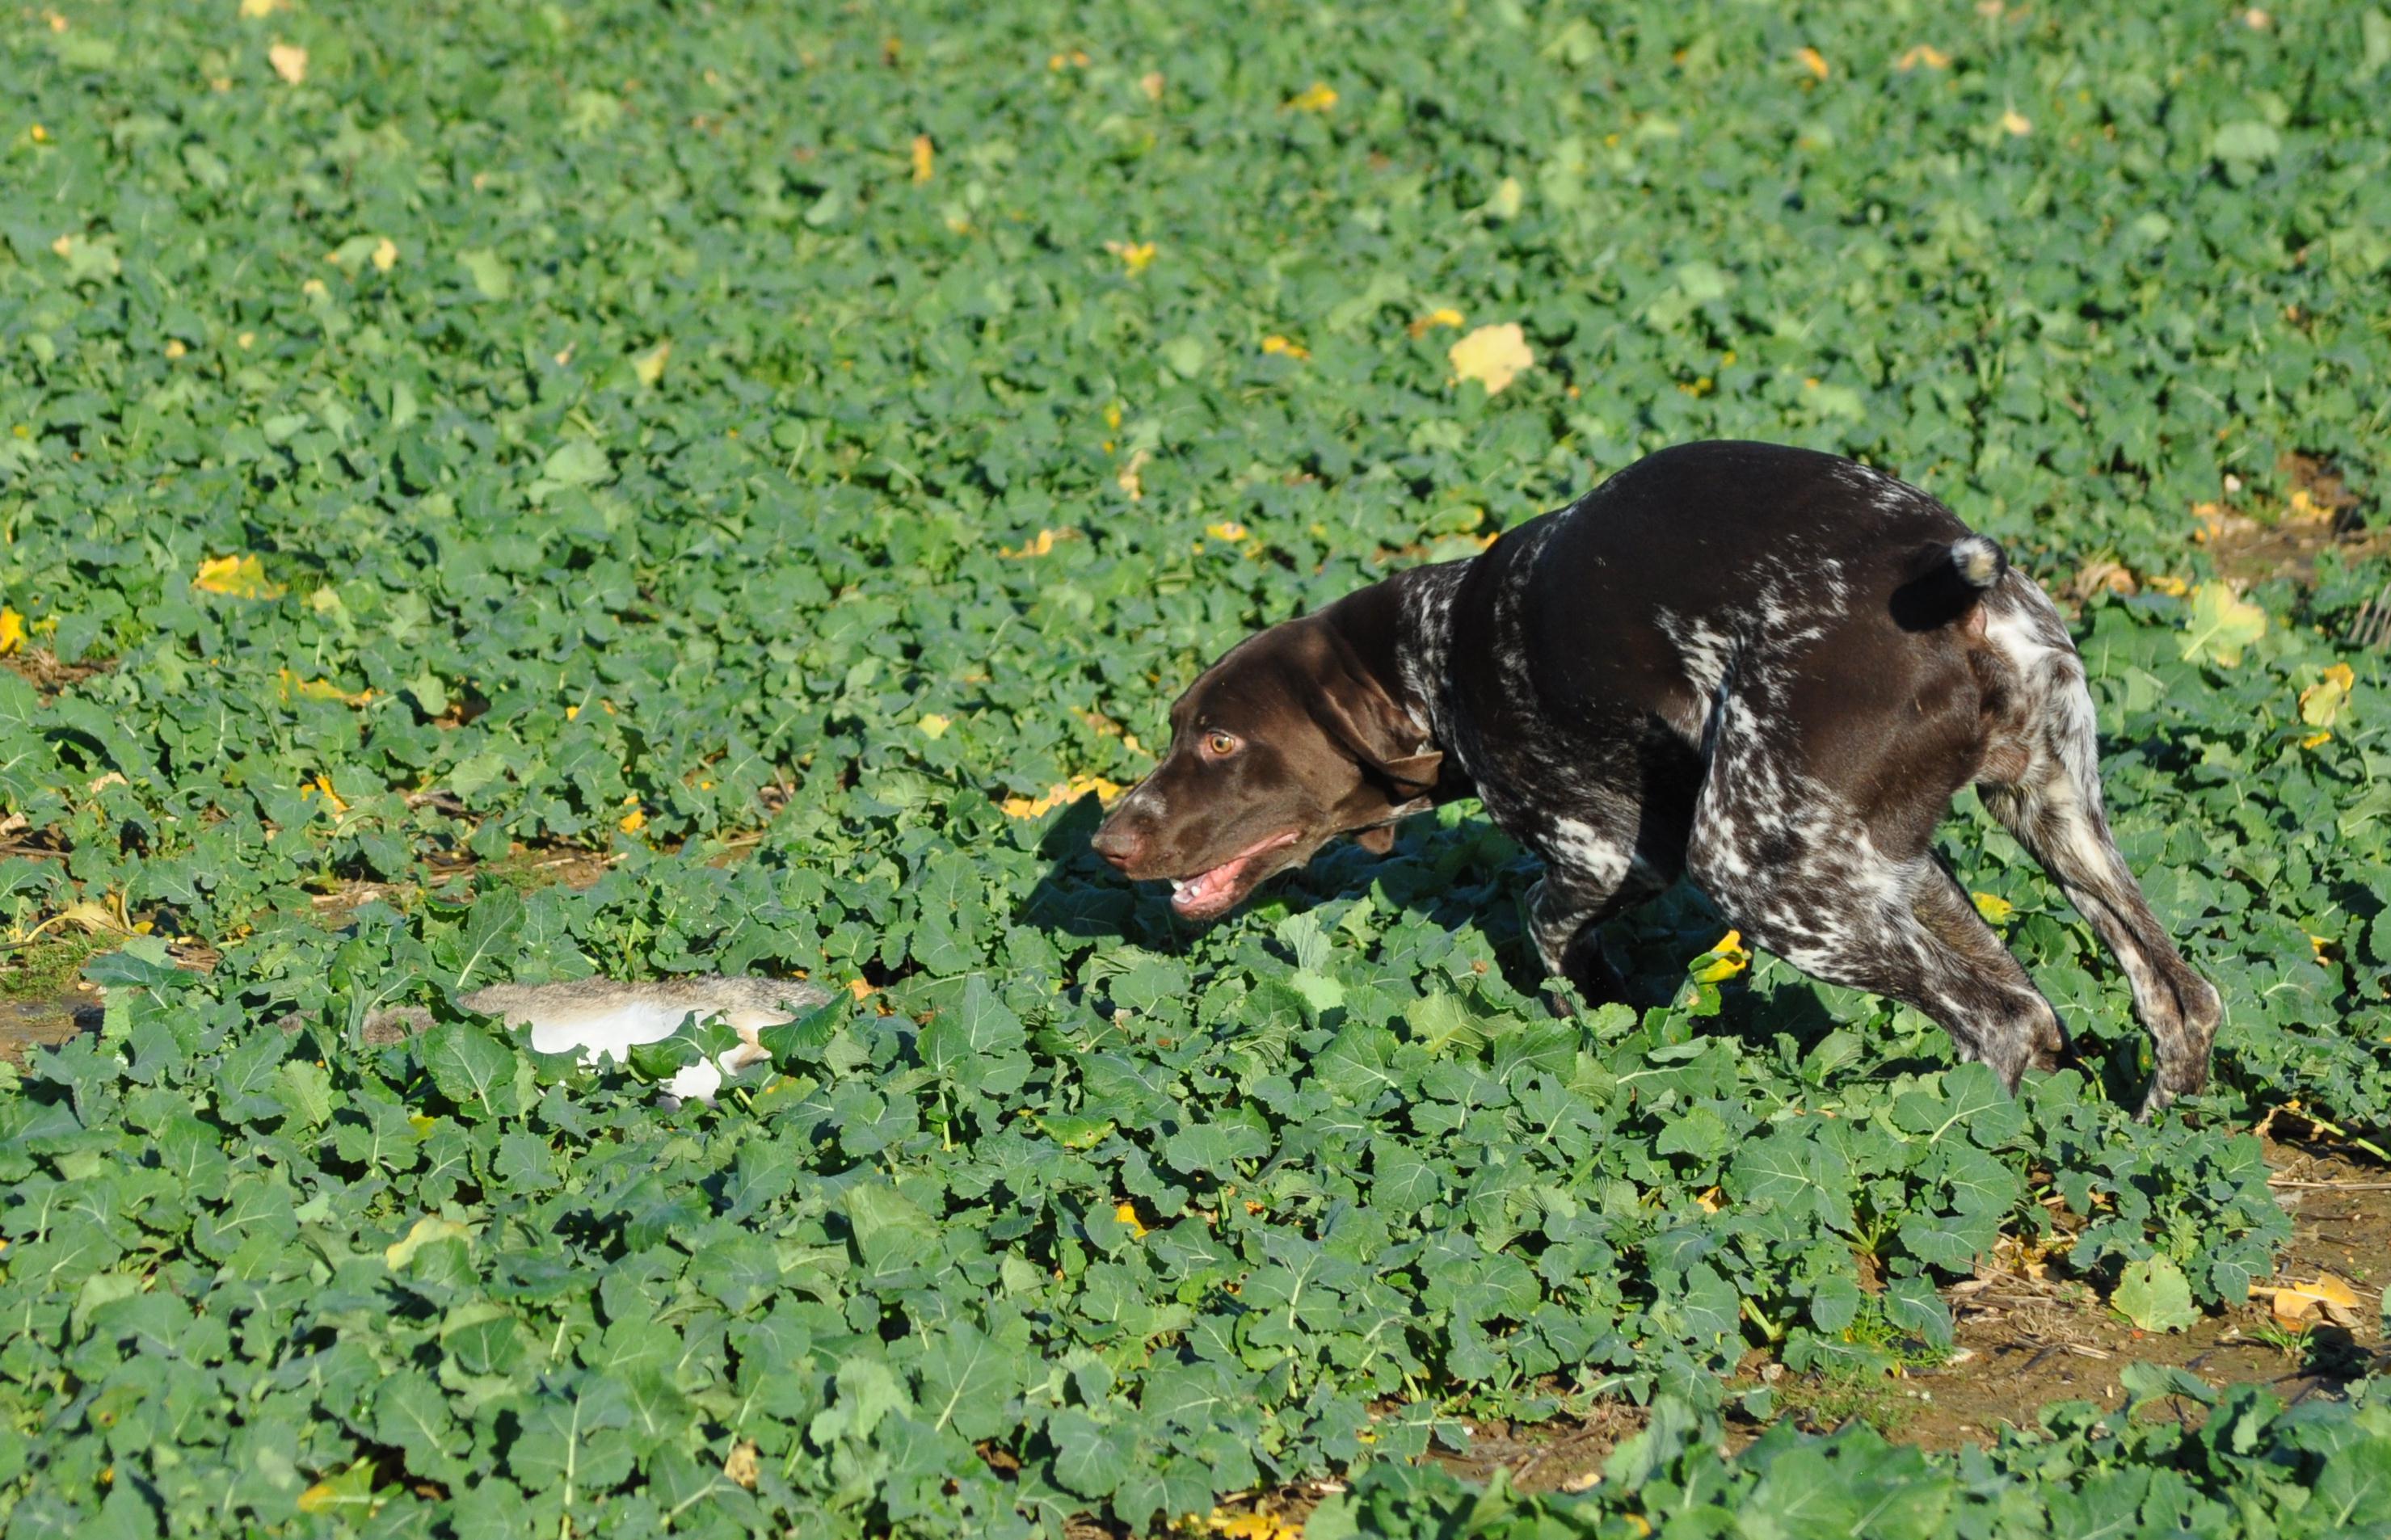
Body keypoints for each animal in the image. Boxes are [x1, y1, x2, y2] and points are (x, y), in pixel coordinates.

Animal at [1100, 440, 2218, 1114]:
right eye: (1179, 728)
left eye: (1219, 743)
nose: (1110, 838)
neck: (1440, 651)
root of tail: (1947, 589)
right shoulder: (1895, 865)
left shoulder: (1610, 856)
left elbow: (1546, 930)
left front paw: (1602, 1024)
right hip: (2039, 814)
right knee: (2172, 998)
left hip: (1758, 874)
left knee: (2004, 1024)